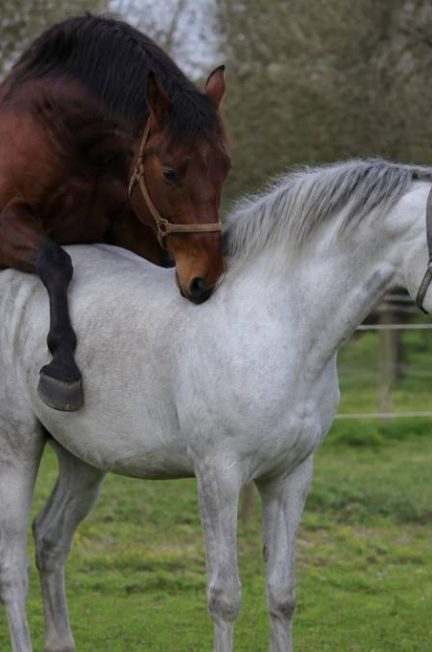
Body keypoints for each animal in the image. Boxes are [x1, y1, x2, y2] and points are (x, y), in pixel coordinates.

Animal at [0, 14, 229, 412]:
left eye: (225, 167)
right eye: (170, 172)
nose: (206, 277)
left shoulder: (127, 228)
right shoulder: (7, 222)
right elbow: (56, 261)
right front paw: (63, 368)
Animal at [1, 159, 431, 652]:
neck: (277, 325)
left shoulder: (290, 477)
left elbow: (282, 594)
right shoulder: (219, 476)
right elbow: (224, 597)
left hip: (83, 459)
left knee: (50, 538)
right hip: (17, 448)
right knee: (12, 568)